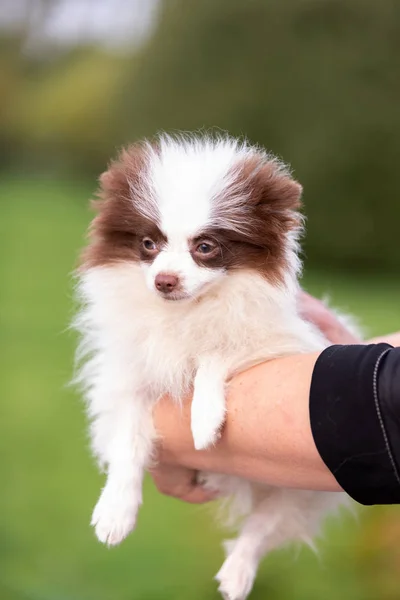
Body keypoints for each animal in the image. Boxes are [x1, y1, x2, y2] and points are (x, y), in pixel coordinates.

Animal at [73, 136, 348, 600]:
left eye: (205, 247)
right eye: (149, 244)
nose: (164, 280)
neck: (188, 311)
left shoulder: (288, 343)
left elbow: (217, 351)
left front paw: (203, 418)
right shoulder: (130, 372)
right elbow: (128, 438)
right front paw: (115, 511)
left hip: (305, 484)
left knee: (265, 524)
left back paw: (238, 571)